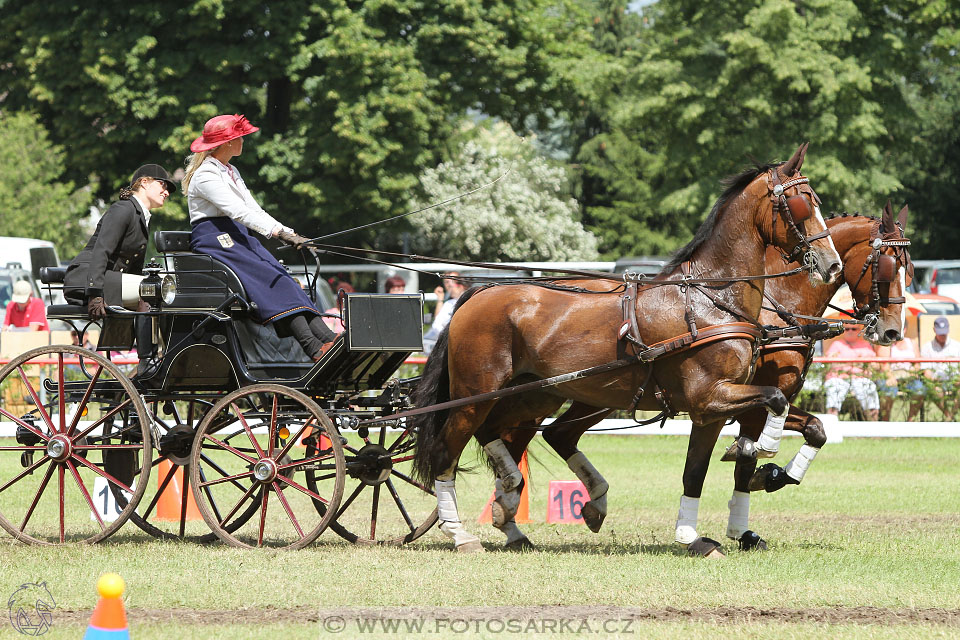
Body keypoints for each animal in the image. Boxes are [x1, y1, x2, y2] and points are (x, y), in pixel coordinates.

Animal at [410, 142, 840, 552]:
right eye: (803, 203)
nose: (831, 264)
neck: (711, 299)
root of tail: (478, 292)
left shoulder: (712, 410)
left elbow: (699, 470)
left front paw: (695, 534)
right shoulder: (709, 398)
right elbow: (774, 403)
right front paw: (763, 450)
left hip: (537, 395)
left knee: (516, 435)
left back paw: (522, 515)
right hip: (474, 395)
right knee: (447, 453)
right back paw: (462, 533)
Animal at [492, 202, 912, 552]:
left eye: (908, 270)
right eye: (888, 266)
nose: (892, 331)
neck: (776, 305)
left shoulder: (758, 402)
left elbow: (815, 430)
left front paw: (763, 494)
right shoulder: (744, 400)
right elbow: (746, 458)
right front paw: (759, 486)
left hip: (592, 395)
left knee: (552, 435)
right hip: (551, 394)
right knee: (513, 435)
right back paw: (507, 514)